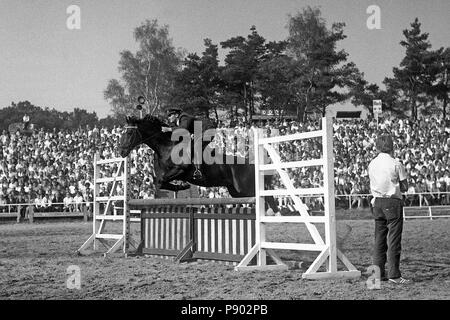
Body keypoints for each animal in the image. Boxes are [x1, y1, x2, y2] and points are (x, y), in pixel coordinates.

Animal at [118, 114, 282, 212]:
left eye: (129, 133)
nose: (121, 151)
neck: (166, 147)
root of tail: (251, 164)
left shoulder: (181, 170)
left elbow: (161, 181)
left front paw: (182, 186)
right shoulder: (163, 174)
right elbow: (159, 182)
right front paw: (180, 187)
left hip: (245, 188)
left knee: (266, 196)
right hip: (236, 192)